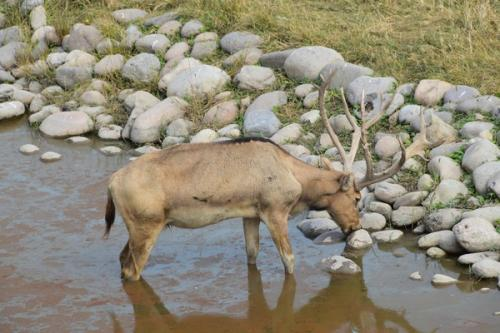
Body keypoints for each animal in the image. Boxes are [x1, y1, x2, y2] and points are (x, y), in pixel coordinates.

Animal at [104, 72, 430, 280]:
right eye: (356, 196)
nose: (355, 226)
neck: (297, 182)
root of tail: (111, 184)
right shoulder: (275, 209)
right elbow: (289, 260)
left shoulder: (250, 212)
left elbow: (252, 254)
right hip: (147, 223)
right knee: (132, 269)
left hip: (138, 225)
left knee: (120, 260)